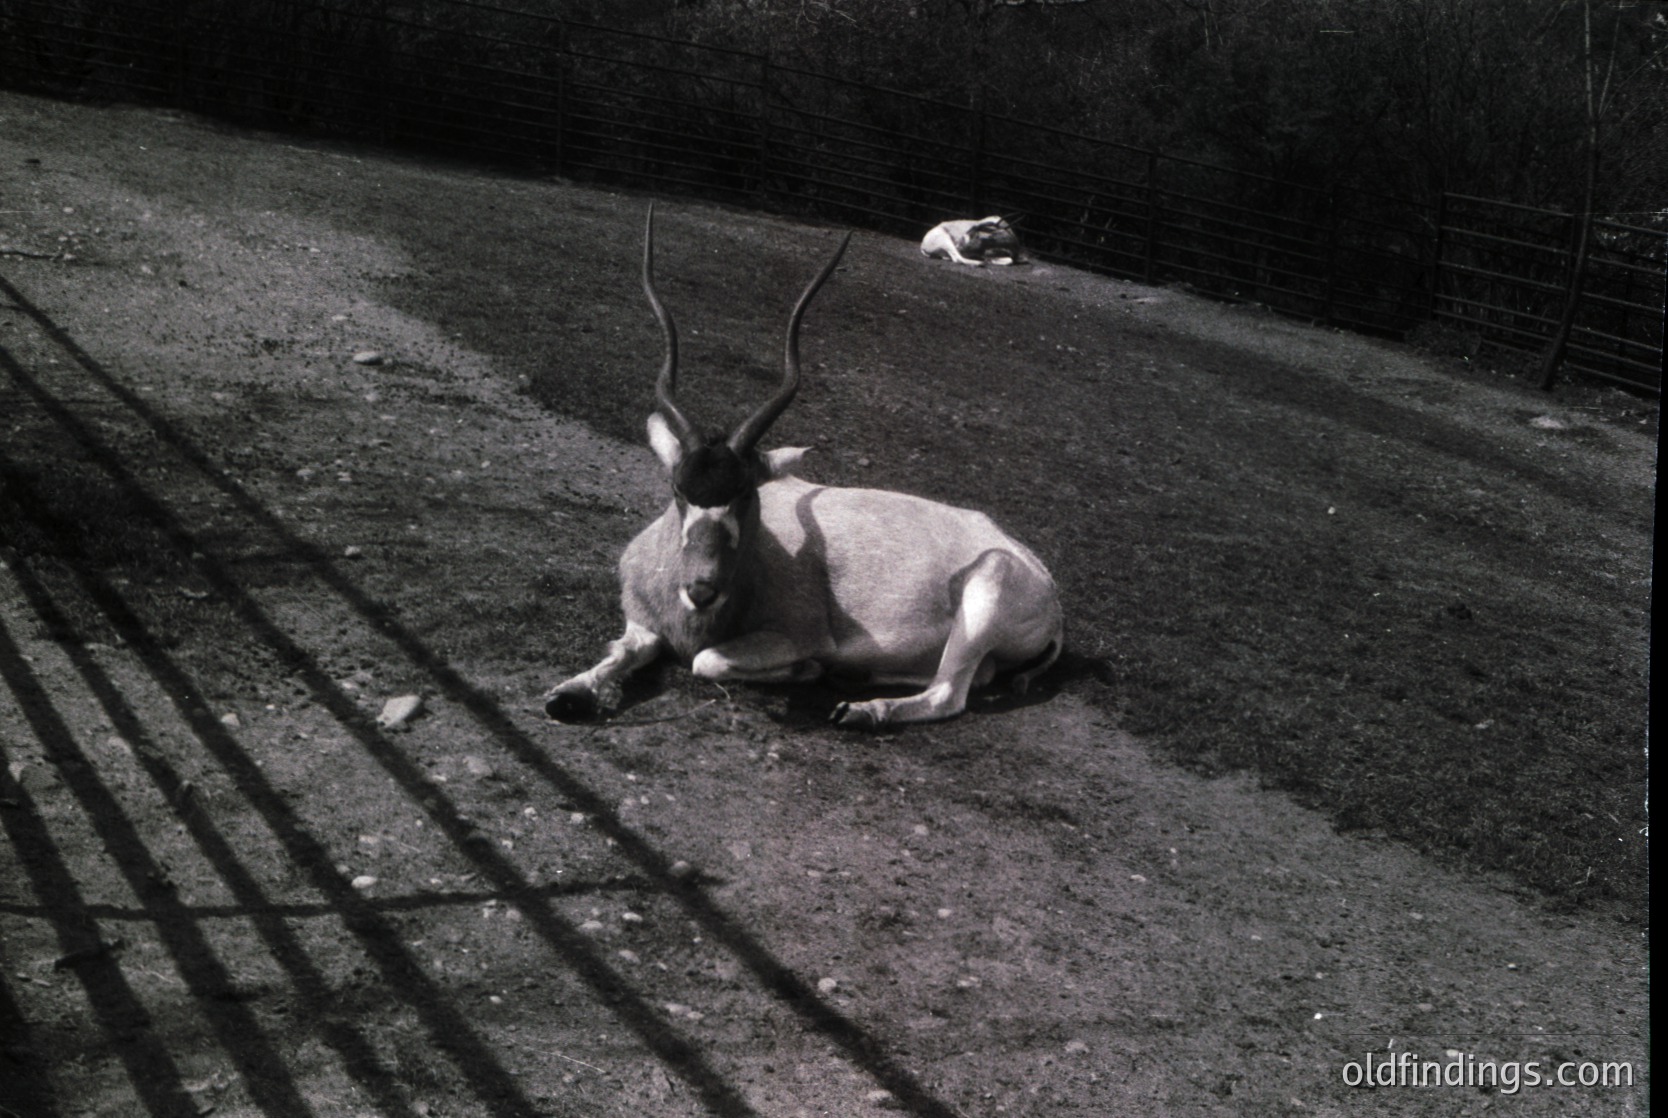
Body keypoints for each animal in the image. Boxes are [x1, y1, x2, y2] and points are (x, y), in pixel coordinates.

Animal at [544, 205, 1062, 729]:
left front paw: (807, 670)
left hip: (986, 588)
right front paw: (569, 692)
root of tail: (1046, 585)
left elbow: (706, 660)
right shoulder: (643, 624)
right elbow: (623, 650)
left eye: (746, 493)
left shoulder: (796, 636)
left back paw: (860, 709)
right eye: (677, 489)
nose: (702, 591)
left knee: (949, 692)